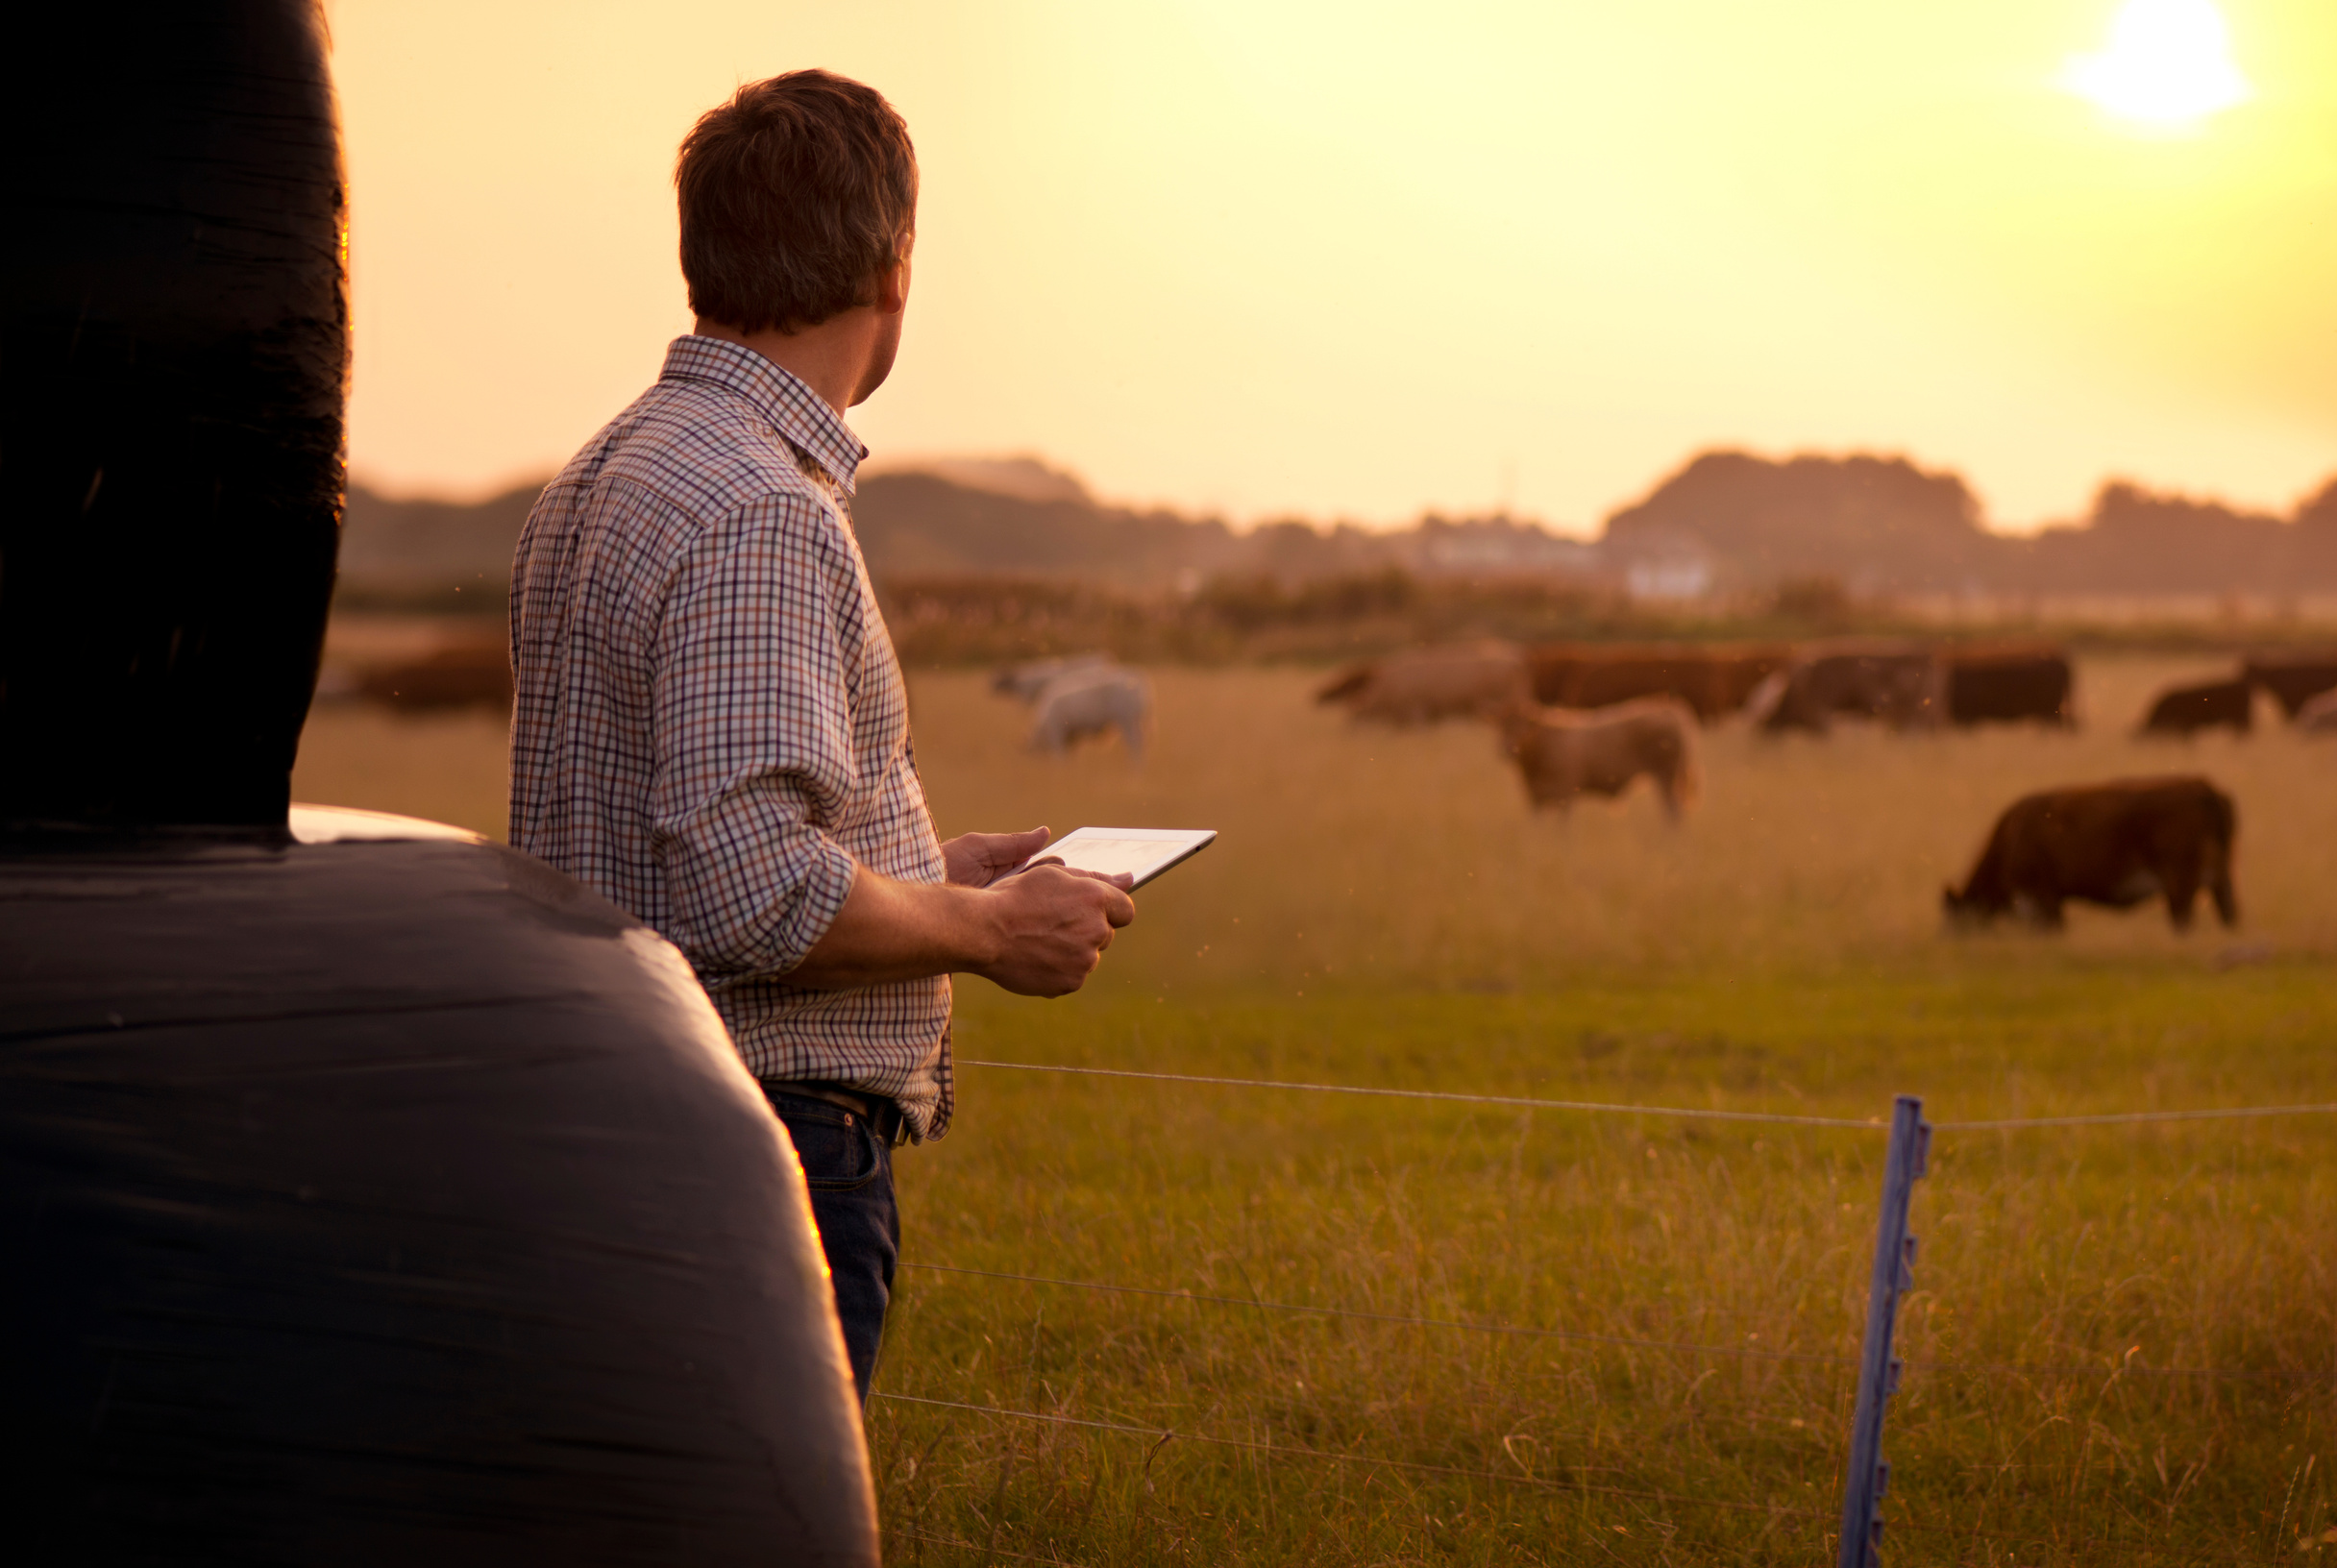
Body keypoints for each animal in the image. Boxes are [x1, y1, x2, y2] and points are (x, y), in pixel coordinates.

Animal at [1497, 697, 1700, 820]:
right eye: (1501, 725)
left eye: (1524, 726)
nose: (1508, 748)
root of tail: (1667, 708)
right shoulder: (1534, 797)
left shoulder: (1565, 794)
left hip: (1667, 776)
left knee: (1674, 812)